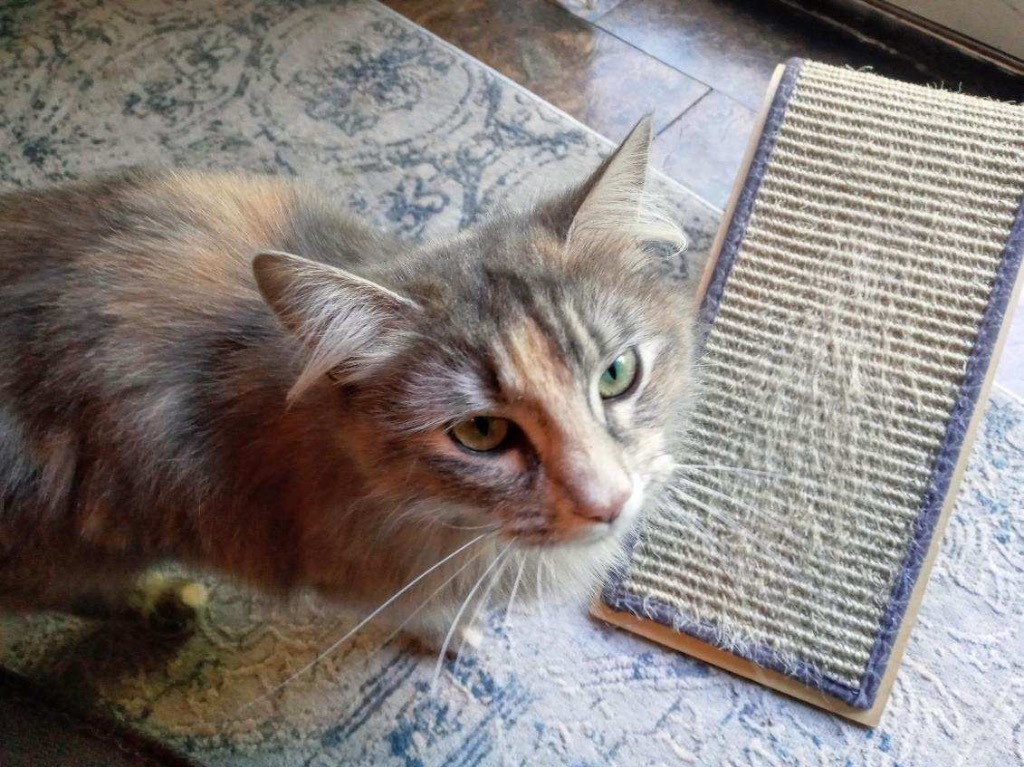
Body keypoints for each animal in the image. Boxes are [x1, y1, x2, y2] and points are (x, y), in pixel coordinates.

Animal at [0, 118, 696, 647]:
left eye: (617, 374)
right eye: (480, 432)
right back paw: (170, 606)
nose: (610, 501)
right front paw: (454, 634)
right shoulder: (355, 576)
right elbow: (422, 613)